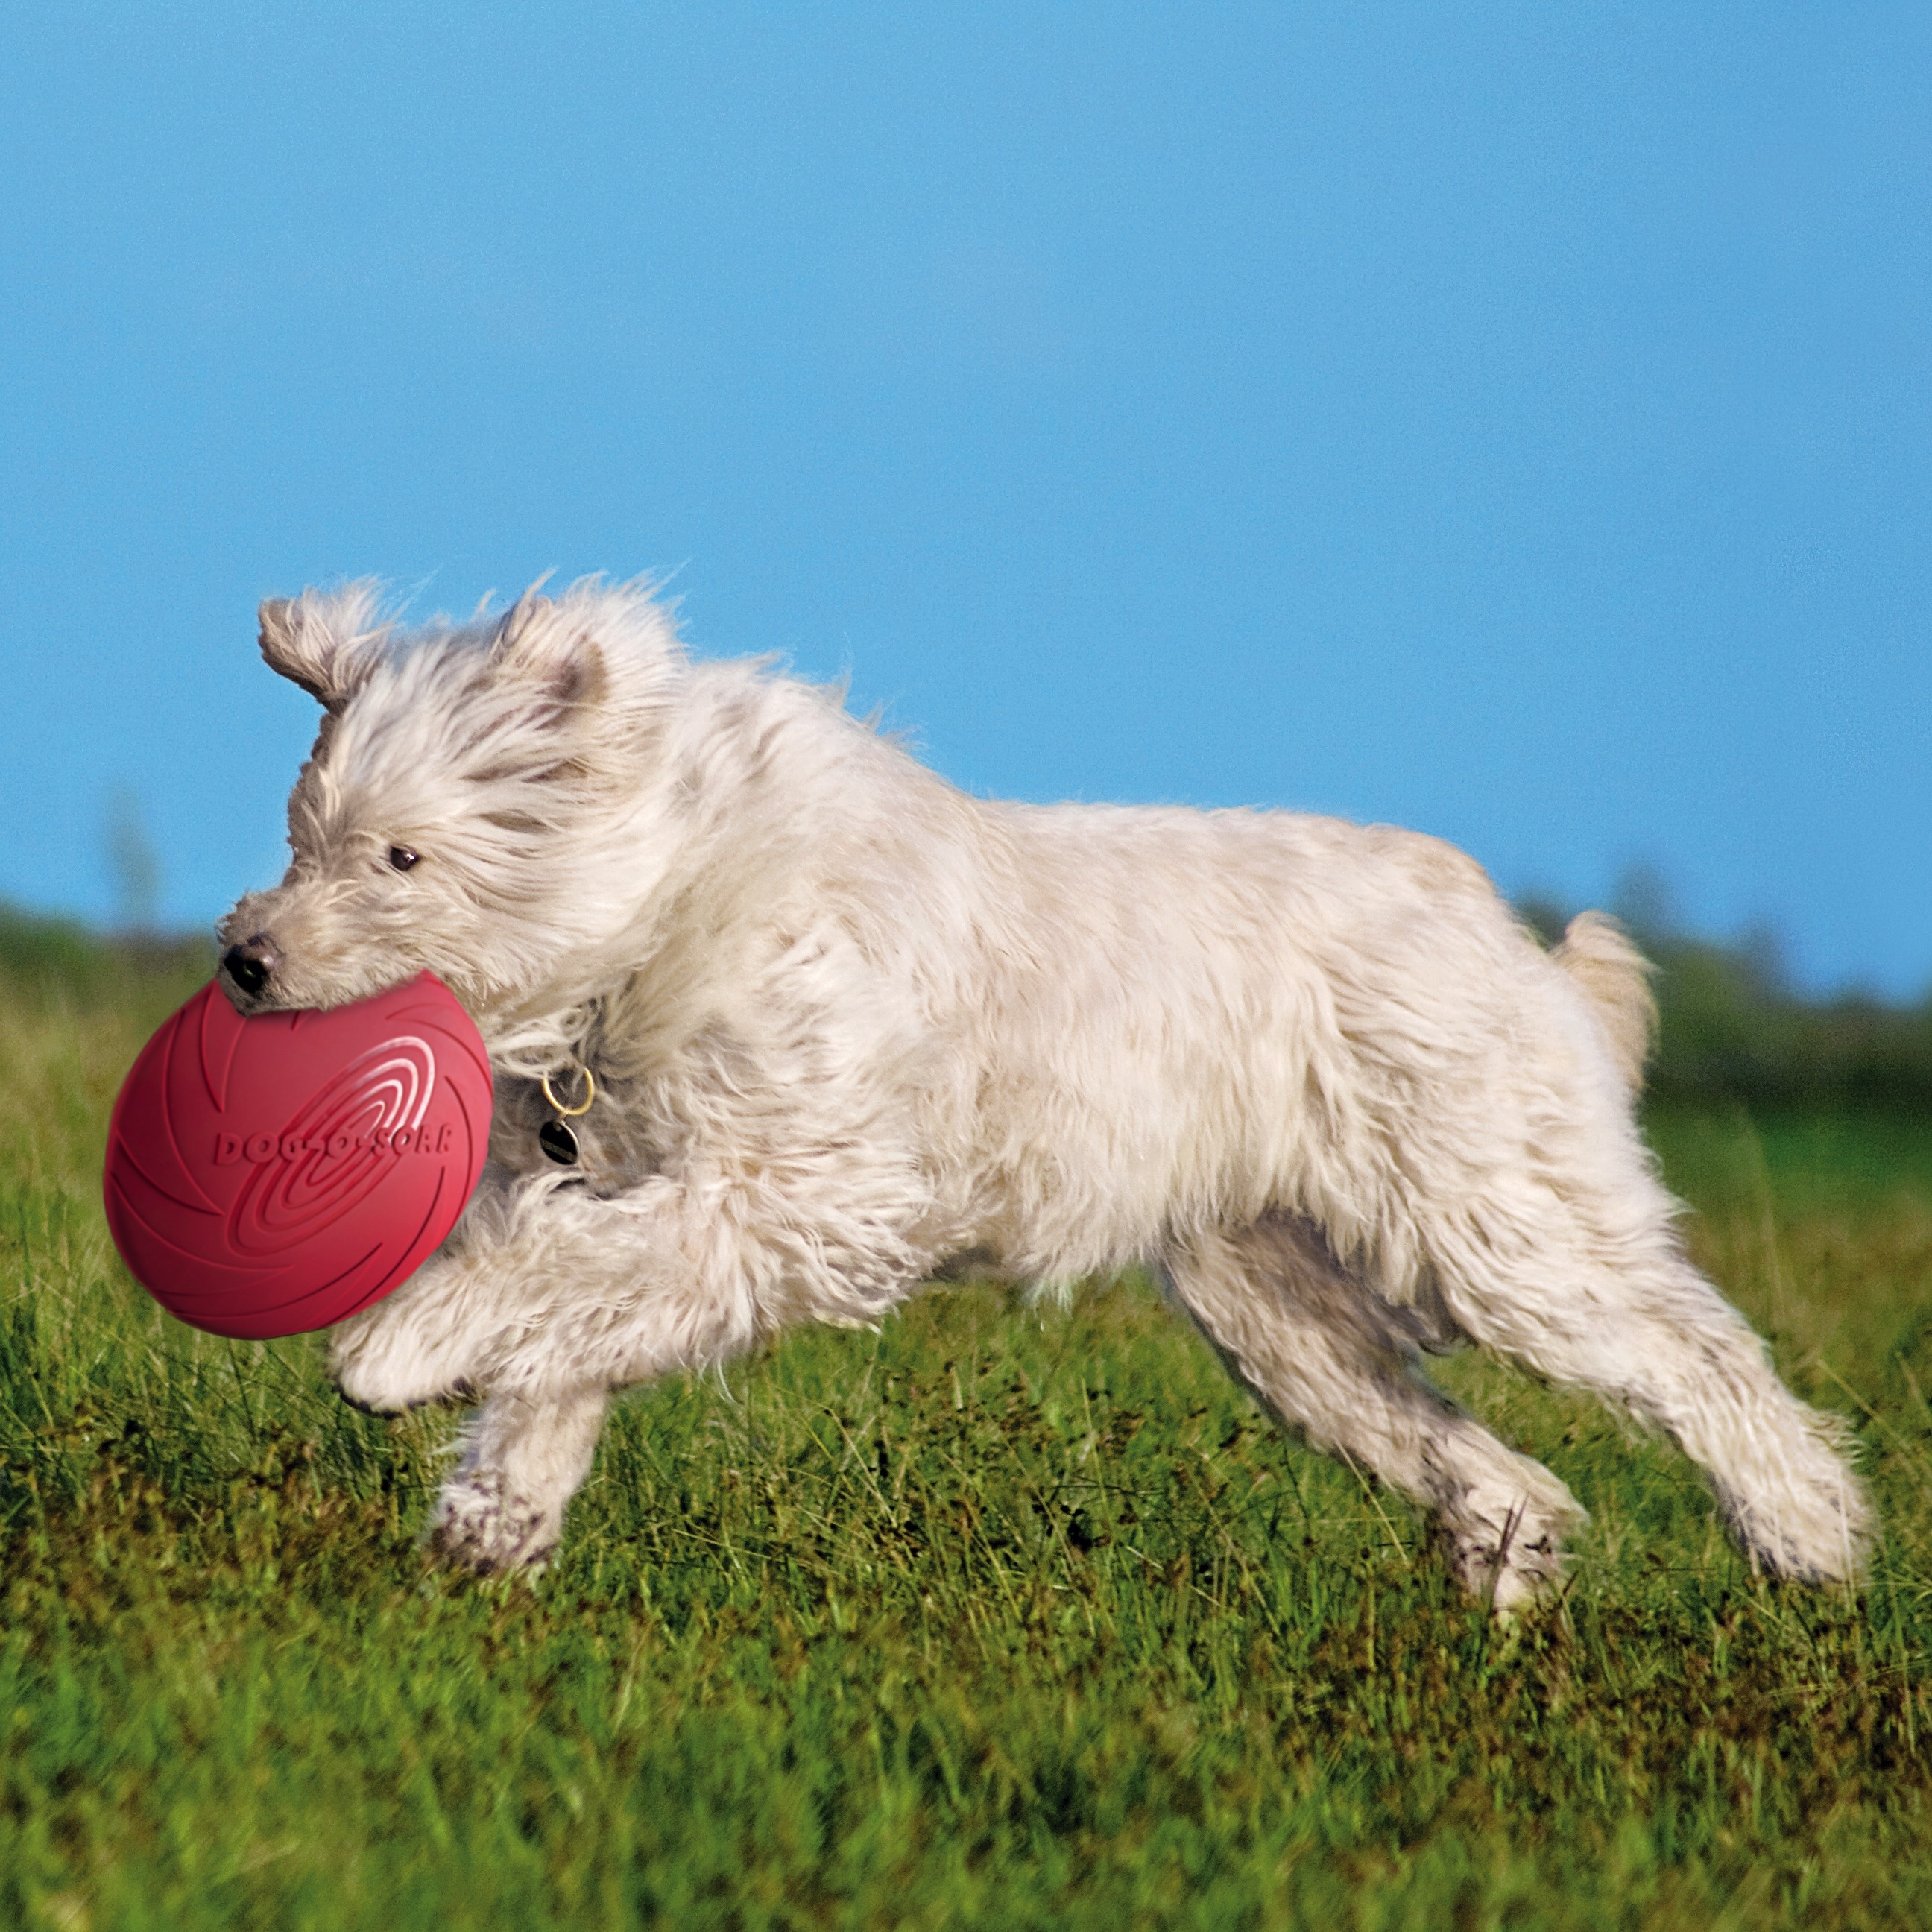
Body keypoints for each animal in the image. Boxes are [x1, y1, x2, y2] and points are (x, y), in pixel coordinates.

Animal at [222, 579, 1870, 1607]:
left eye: (403, 856)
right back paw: (1513, 1598)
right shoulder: (653, 1188)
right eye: (299, 834)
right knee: (1501, 1467)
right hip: (1281, 1315)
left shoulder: (798, 1194)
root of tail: (1509, 936)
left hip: (1491, 1230)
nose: (241, 960)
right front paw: (488, 1529)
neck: (655, 908)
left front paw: (394, 1354)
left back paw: (1812, 1541)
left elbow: (542, 1284)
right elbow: (563, 1329)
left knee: (1700, 1356)